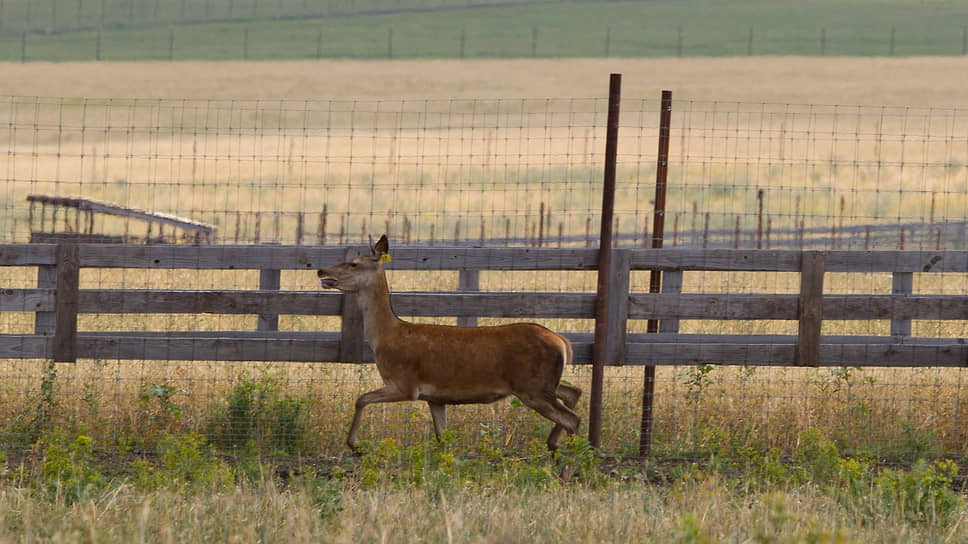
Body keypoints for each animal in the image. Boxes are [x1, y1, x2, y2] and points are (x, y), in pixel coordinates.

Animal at [316, 234, 584, 450]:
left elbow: (361, 398)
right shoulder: (435, 397)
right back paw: (553, 444)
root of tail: (562, 341)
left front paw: (354, 445)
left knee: (573, 418)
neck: (385, 336)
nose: (321, 271)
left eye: (354, 263)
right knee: (573, 392)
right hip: (541, 383)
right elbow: (442, 438)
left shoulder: (405, 384)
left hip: (532, 387)